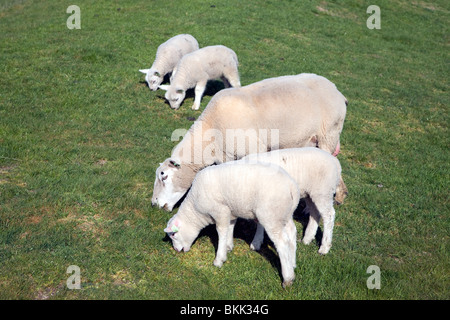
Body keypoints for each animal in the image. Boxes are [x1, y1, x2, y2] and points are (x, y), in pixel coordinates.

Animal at [152, 73, 348, 211]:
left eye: (164, 176)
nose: (154, 204)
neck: (213, 131)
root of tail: (338, 92)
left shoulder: (255, 149)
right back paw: (340, 195)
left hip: (329, 133)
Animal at [163, 161, 300, 288]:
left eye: (173, 234)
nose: (176, 250)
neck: (195, 211)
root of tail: (291, 186)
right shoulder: (230, 210)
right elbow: (230, 227)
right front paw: (228, 246)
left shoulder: (220, 211)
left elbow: (221, 231)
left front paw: (219, 259)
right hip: (284, 214)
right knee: (292, 233)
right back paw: (292, 264)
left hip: (271, 216)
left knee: (282, 243)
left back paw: (287, 278)